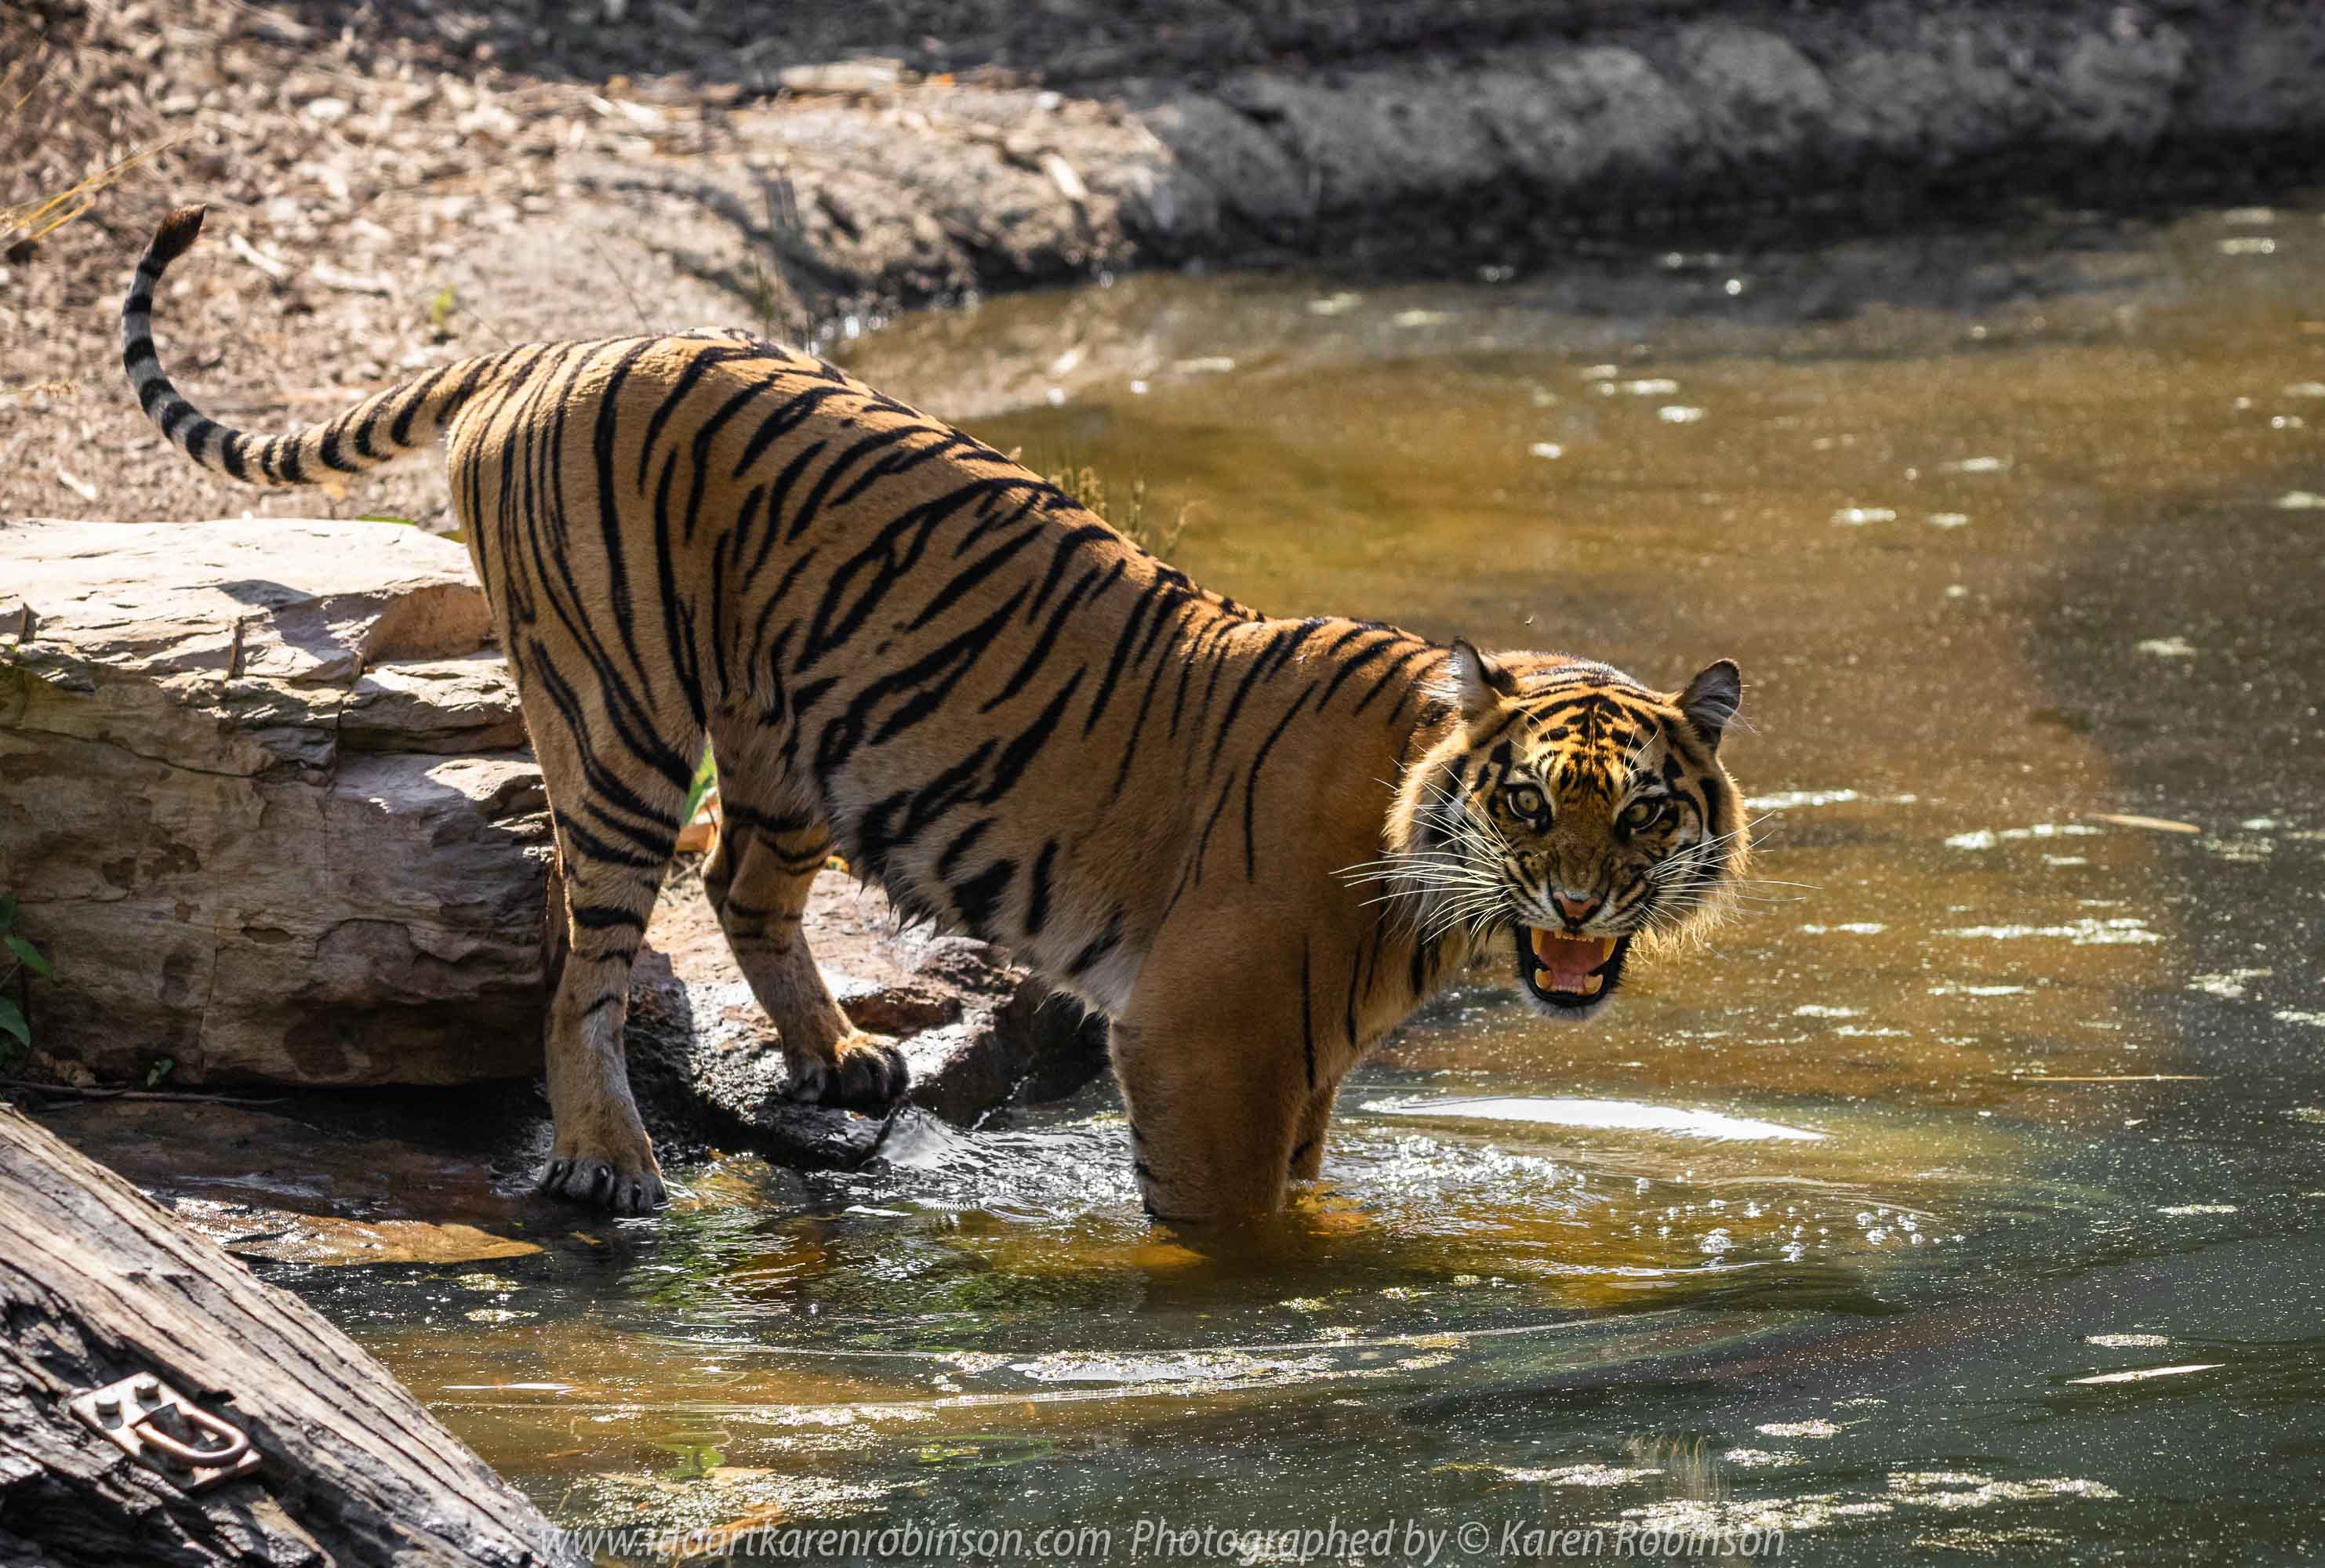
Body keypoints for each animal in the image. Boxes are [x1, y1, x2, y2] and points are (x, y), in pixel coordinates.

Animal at [121, 205, 1751, 1219]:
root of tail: (560, 342)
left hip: (794, 731)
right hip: (620, 711)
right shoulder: (1205, 1046)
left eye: (1644, 813)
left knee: (739, 882)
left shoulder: (1300, 1080)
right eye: (1528, 805)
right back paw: (609, 1161)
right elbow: (1234, 1238)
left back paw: (843, 1056)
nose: (1579, 906)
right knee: (586, 949)